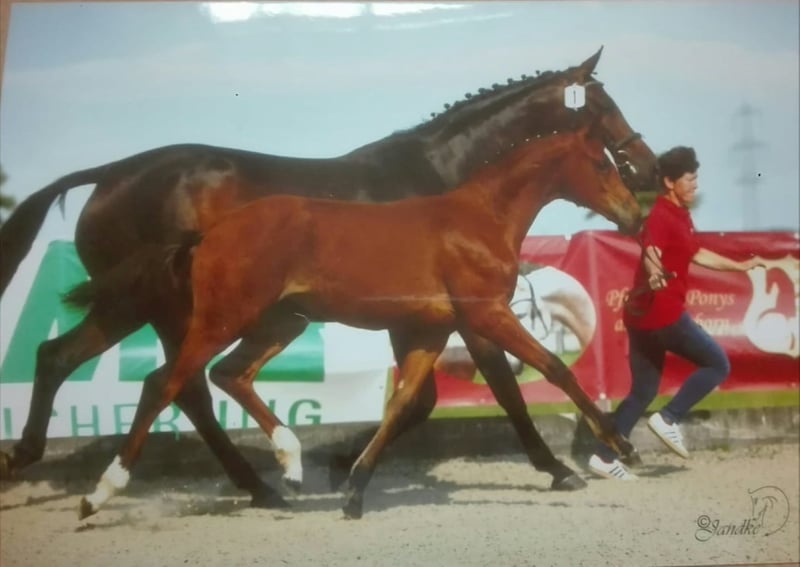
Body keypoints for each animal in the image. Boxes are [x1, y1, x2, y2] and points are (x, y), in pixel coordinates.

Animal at [0, 48, 656, 506]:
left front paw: (345, 464)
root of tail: (111, 172)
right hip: (174, 310)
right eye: (604, 106)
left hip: (137, 303)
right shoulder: (459, 312)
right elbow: (499, 383)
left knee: (64, 357)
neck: (444, 177)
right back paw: (254, 482)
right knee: (181, 385)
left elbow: (422, 398)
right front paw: (561, 467)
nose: (647, 168)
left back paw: (28, 456)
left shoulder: (420, 316)